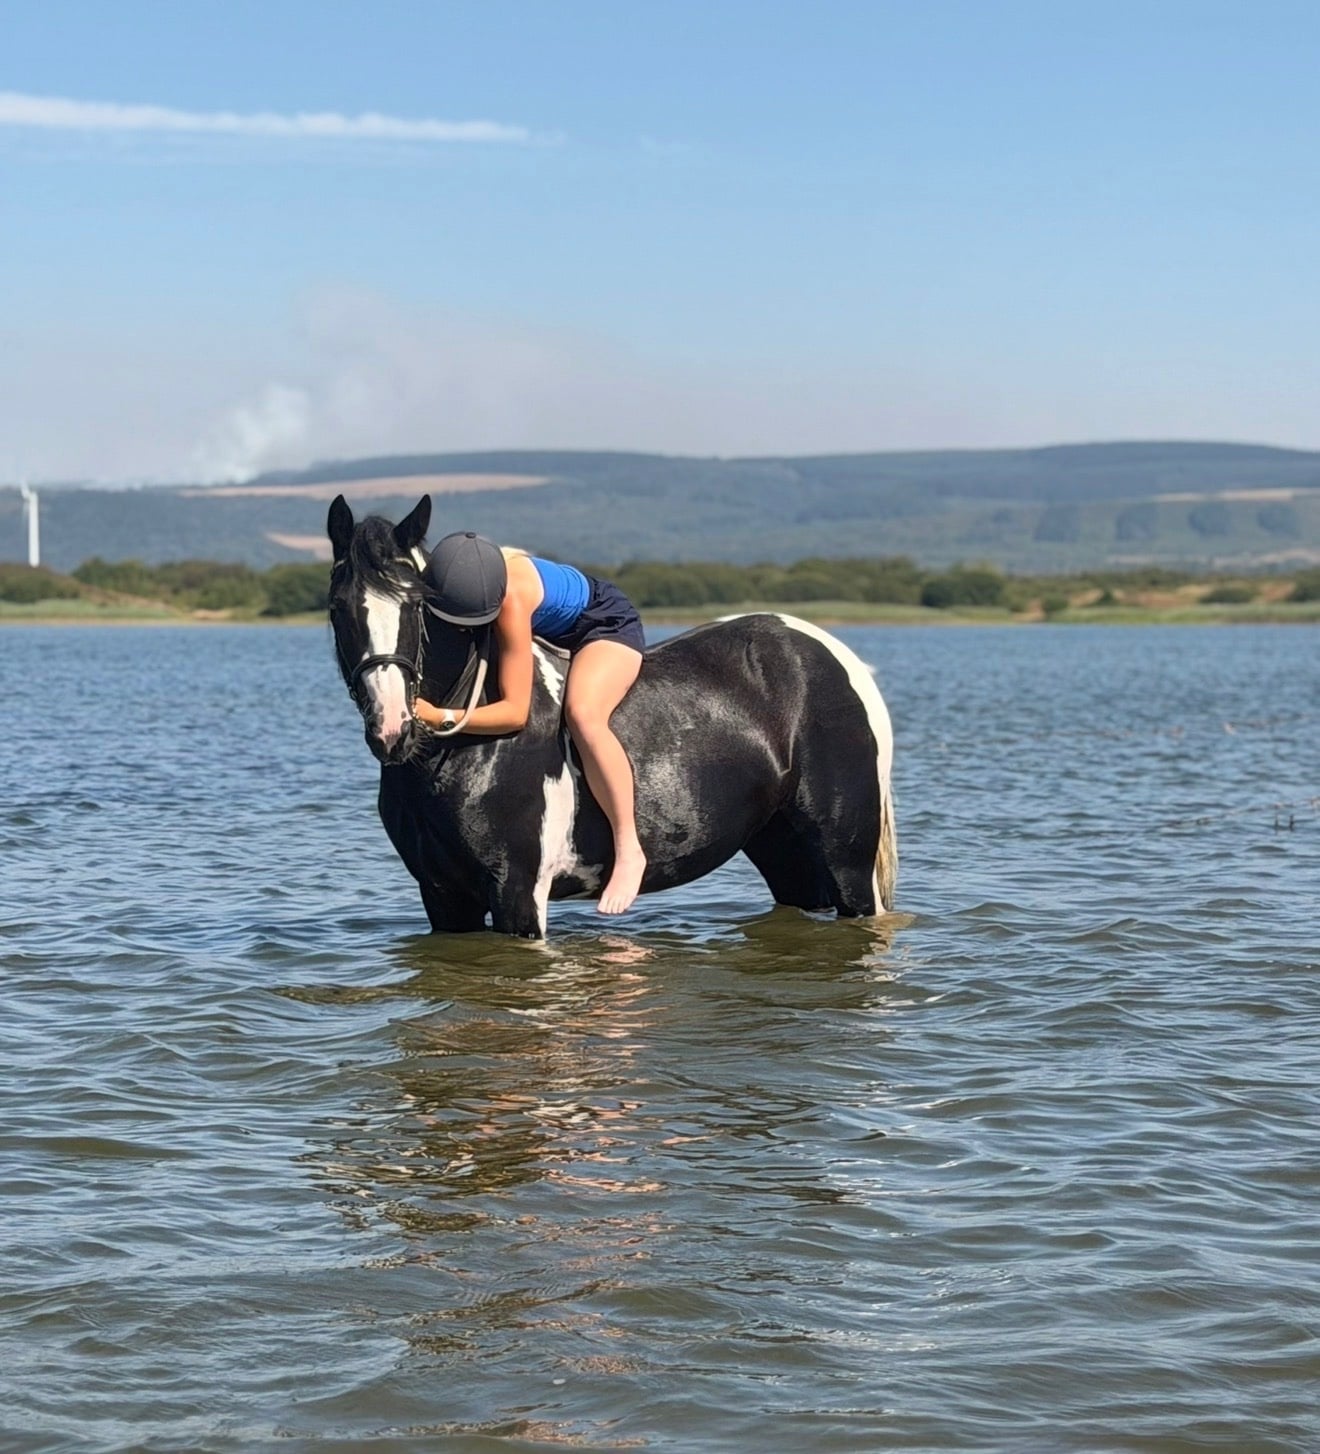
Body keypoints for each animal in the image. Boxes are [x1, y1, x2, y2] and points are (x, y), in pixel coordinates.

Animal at [327, 494, 897, 939]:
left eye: (417, 605)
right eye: (337, 607)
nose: (392, 729)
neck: (463, 753)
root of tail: (833, 653)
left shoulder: (516, 893)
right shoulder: (443, 896)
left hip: (847, 860)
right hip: (782, 852)